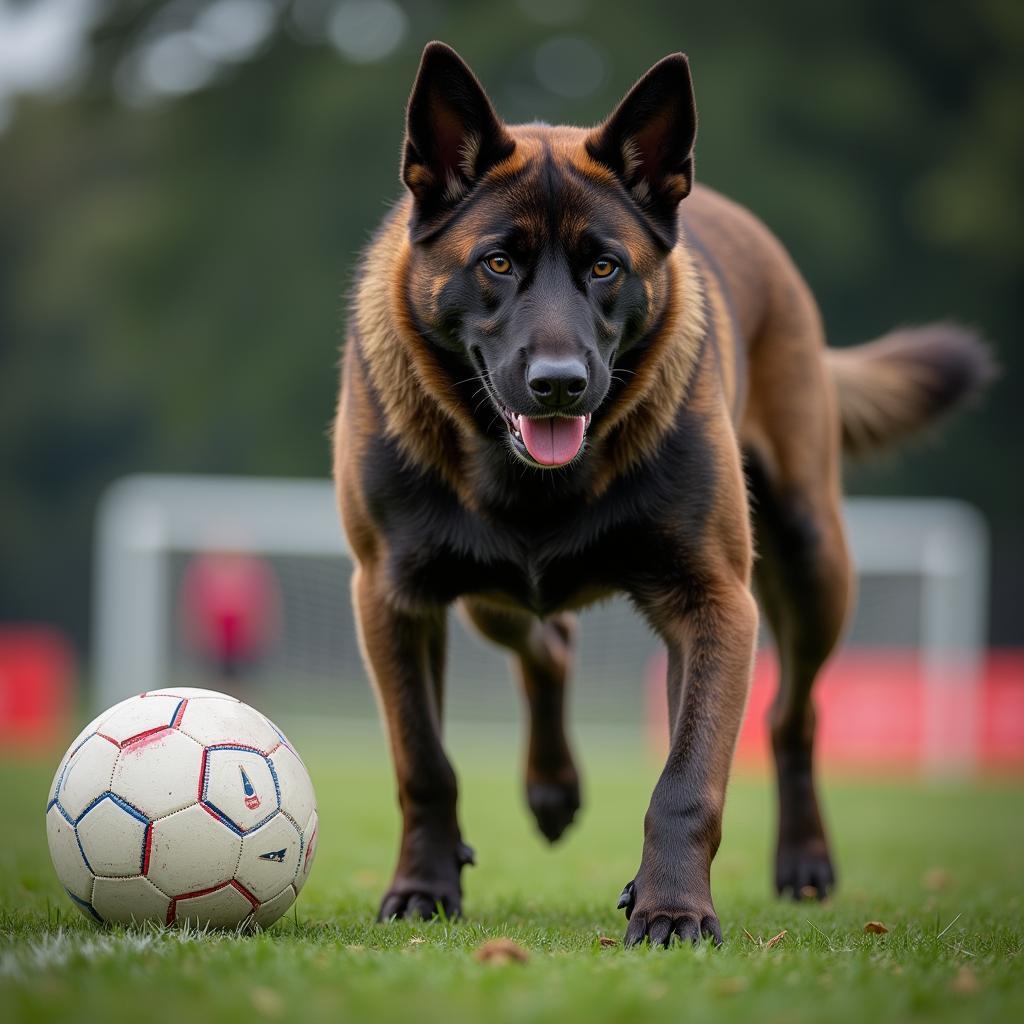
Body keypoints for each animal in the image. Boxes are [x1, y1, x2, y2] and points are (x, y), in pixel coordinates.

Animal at [331, 46, 987, 942]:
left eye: (605, 267)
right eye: (496, 263)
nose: (560, 386)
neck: (535, 483)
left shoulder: (715, 602)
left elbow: (688, 778)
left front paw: (674, 908)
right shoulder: (392, 599)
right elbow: (423, 762)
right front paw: (424, 889)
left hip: (810, 560)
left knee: (791, 717)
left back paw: (801, 861)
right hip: (487, 595)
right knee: (548, 644)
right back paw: (552, 790)